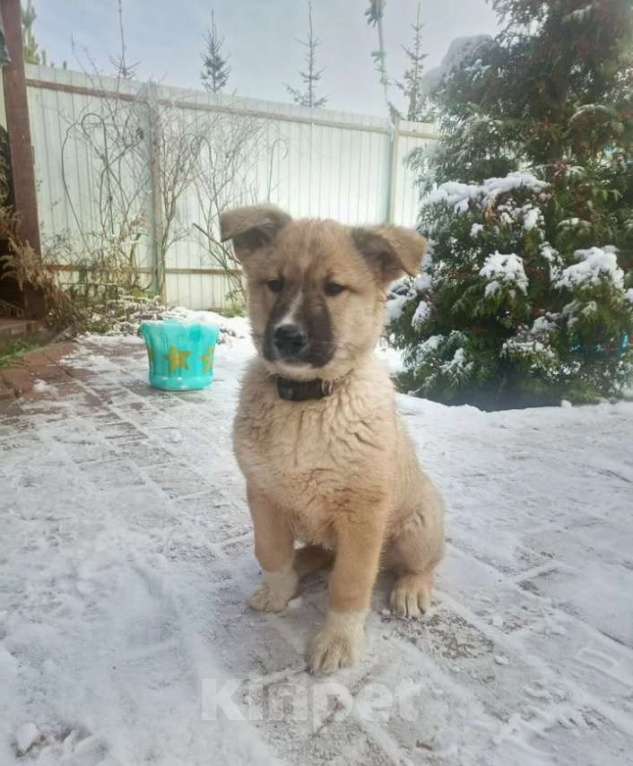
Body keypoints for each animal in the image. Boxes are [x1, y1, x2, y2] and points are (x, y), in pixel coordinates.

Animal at [222, 207, 444, 676]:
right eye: (275, 283)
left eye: (334, 288)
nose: (287, 336)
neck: (307, 404)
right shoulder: (263, 495)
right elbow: (270, 551)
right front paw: (279, 590)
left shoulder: (362, 514)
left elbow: (349, 583)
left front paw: (338, 641)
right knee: (318, 553)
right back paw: (302, 562)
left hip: (418, 528)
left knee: (424, 564)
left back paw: (411, 589)